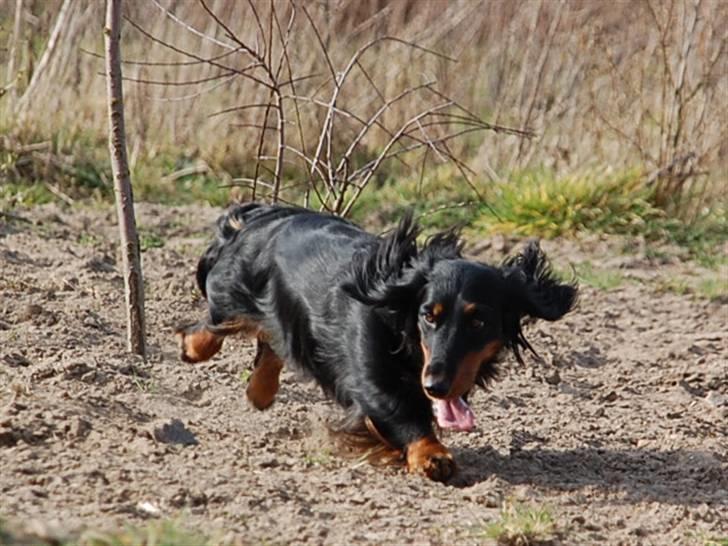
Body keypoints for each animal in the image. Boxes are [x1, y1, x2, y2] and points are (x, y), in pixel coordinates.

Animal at [176, 202, 576, 478]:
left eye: (479, 321)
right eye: (428, 315)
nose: (435, 385)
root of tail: (262, 216)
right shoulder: (373, 380)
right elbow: (399, 412)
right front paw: (431, 454)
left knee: (272, 345)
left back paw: (260, 391)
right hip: (233, 292)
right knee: (212, 325)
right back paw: (193, 349)